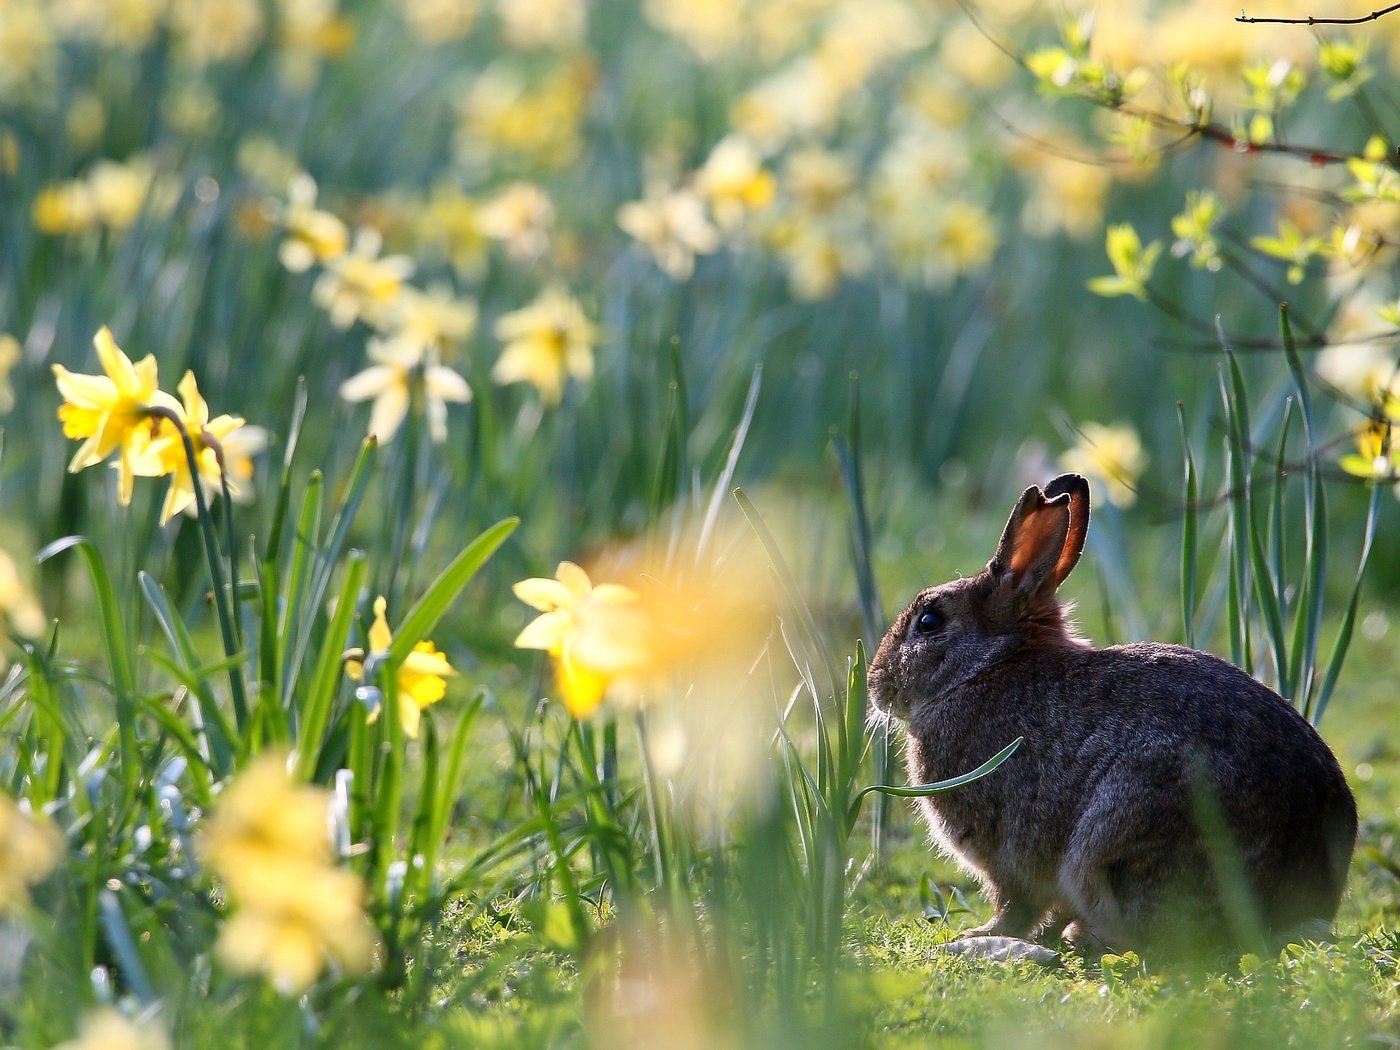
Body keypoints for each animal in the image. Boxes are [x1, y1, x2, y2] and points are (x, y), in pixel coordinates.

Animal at [862, 476, 1355, 963]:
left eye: (929, 621)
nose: (876, 685)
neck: (985, 667)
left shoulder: (1008, 854)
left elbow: (1015, 904)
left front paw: (979, 934)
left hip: (1123, 832)